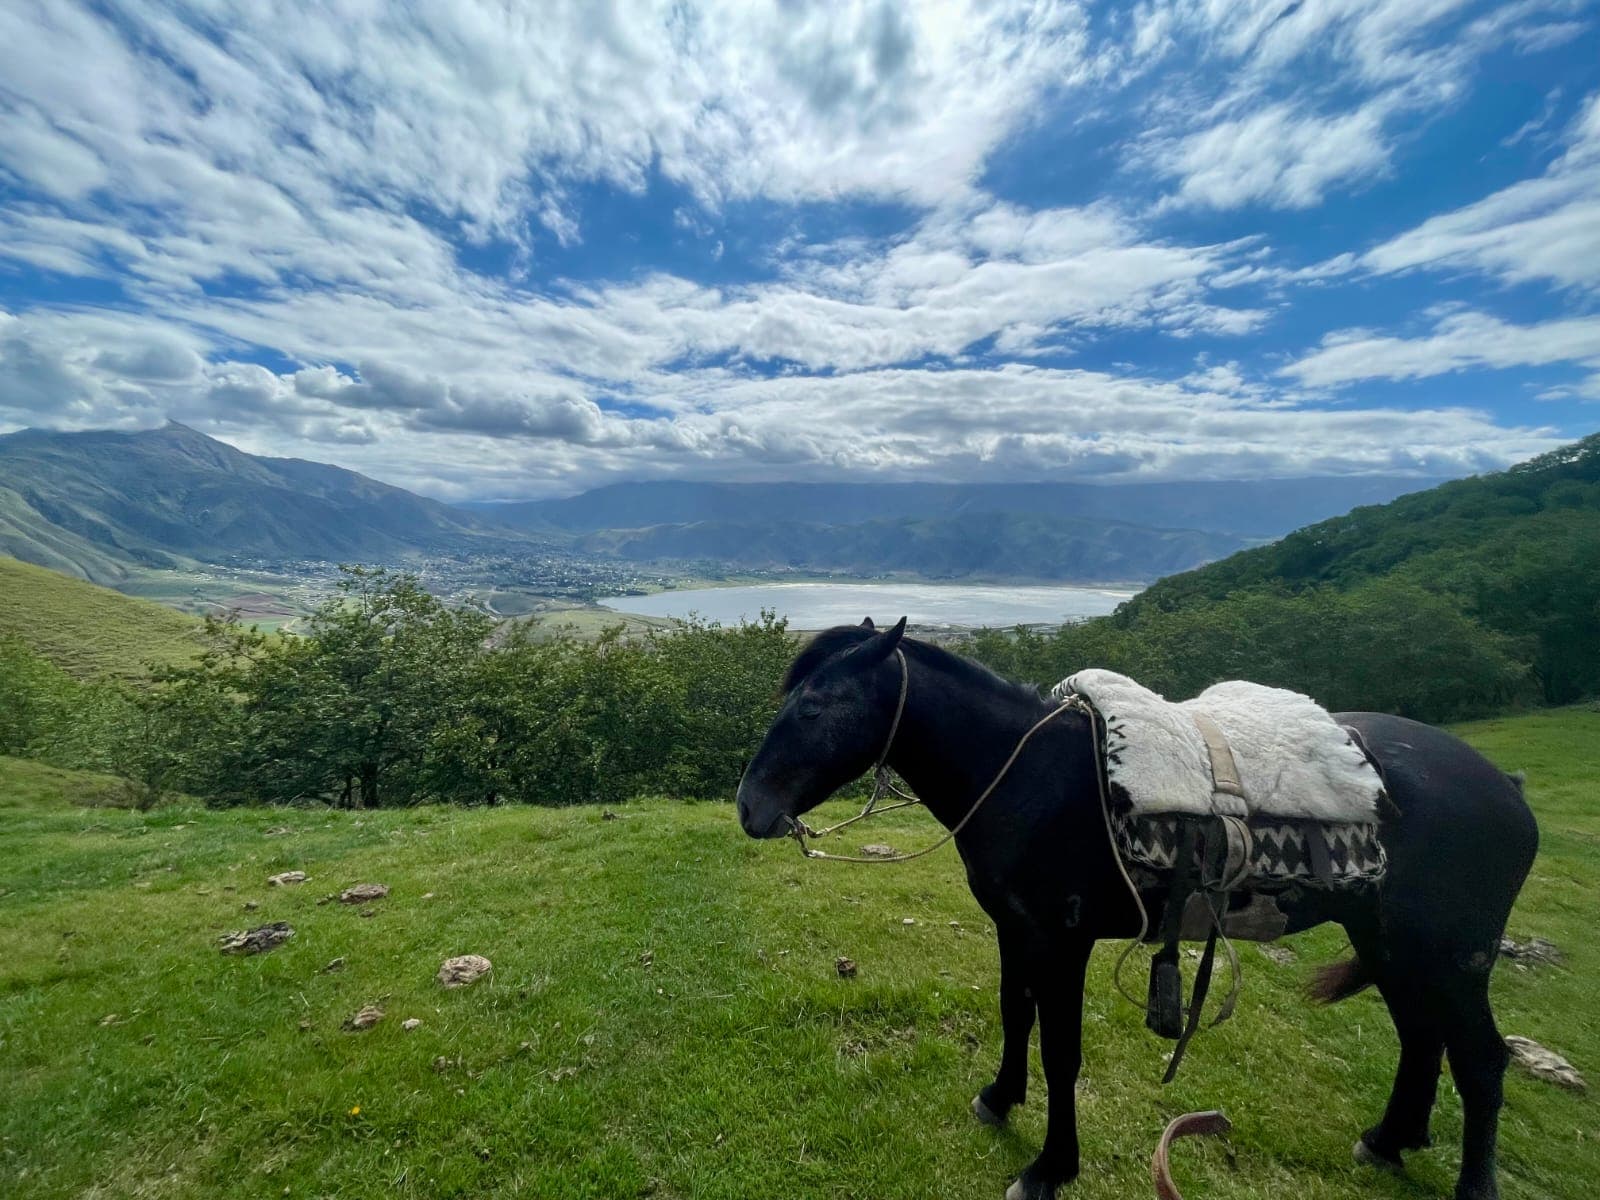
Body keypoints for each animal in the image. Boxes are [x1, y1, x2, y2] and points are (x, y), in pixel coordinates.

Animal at [735, 618, 1539, 1200]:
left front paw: (1050, 1167)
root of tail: (1505, 786)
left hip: (1449, 956)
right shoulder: (1015, 931)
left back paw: (1470, 1184)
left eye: (813, 705)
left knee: (1481, 1061)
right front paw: (1000, 1097)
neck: (1030, 774)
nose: (750, 807)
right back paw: (1387, 1139)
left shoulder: (1062, 942)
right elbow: (1014, 1013)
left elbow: (1060, 1051)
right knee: (1423, 1038)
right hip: (1390, 944)